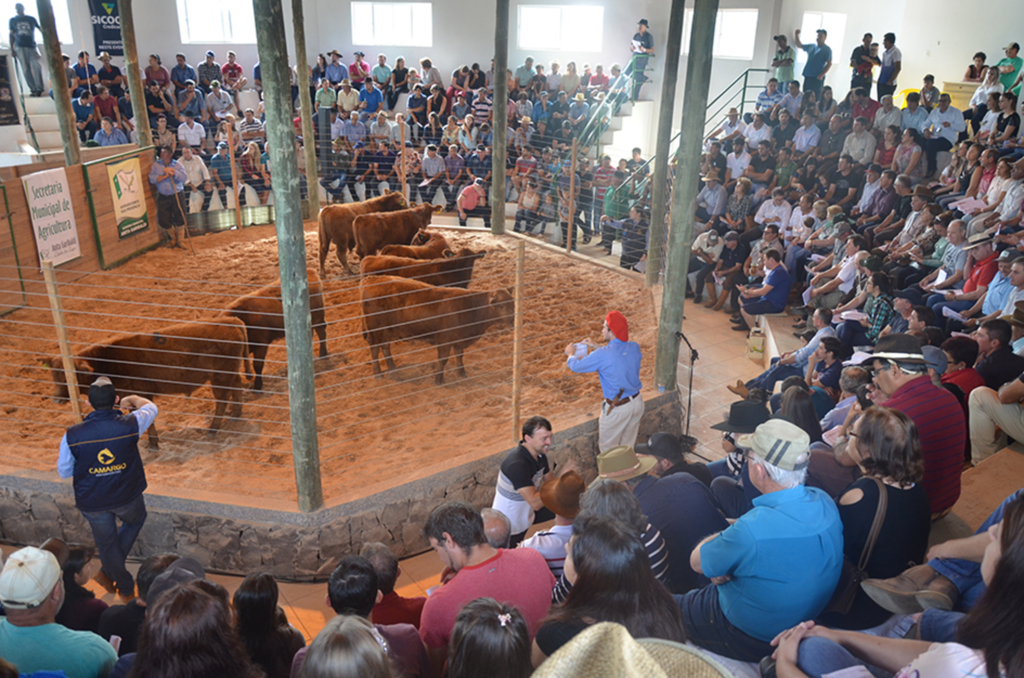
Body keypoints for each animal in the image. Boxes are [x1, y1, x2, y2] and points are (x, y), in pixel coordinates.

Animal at [46, 317, 256, 448]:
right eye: (55, 376)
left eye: (70, 376)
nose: (56, 399)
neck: (108, 362)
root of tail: (231, 321)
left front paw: (153, 442)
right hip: (229, 374)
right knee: (236, 387)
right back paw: (235, 415)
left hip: (220, 377)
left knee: (222, 400)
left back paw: (213, 428)